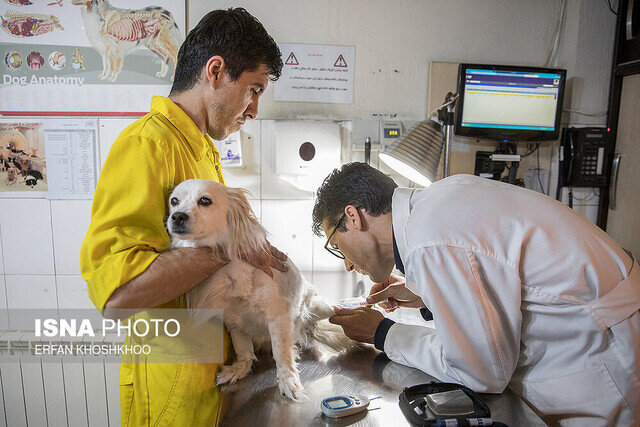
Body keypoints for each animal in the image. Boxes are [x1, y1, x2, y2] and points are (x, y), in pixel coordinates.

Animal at [166, 180, 350, 402]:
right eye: (174, 201)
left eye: (205, 201)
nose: (177, 217)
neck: (228, 273)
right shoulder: (234, 323)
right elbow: (243, 349)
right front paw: (239, 369)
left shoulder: (278, 317)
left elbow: (281, 353)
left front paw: (288, 380)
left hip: (316, 307)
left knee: (333, 311)